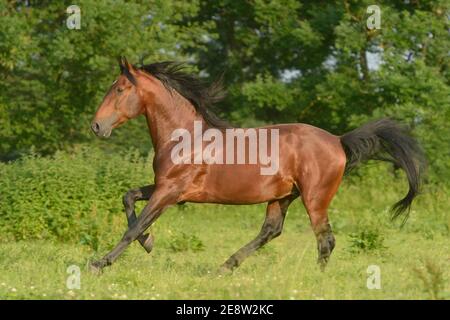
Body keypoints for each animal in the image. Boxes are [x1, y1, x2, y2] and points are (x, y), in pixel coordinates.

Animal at [89, 57, 426, 272]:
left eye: (119, 89)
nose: (96, 126)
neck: (186, 137)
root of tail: (337, 140)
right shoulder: (165, 188)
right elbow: (129, 198)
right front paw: (149, 243)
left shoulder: (170, 191)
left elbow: (134, 227)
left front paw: (100, 263)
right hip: (283, 196)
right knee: (271, 231)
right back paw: (226, 266)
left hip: (315, 198)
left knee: (325, 239)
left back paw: (315, 277)